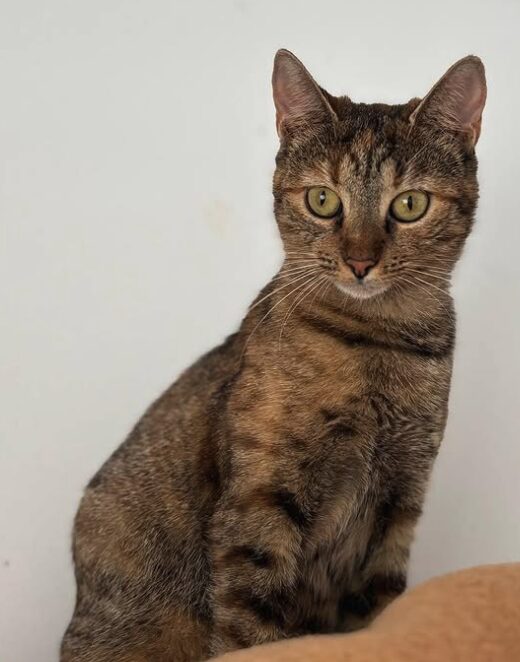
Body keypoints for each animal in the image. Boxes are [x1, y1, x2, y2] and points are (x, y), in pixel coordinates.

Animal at [61, 48, 488, 662]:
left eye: (409, 205)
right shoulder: (260, 503)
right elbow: (251, 630)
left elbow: (379, 617)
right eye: (323, 200)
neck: (379, 345)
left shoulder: (397, 508)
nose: (360, 261)